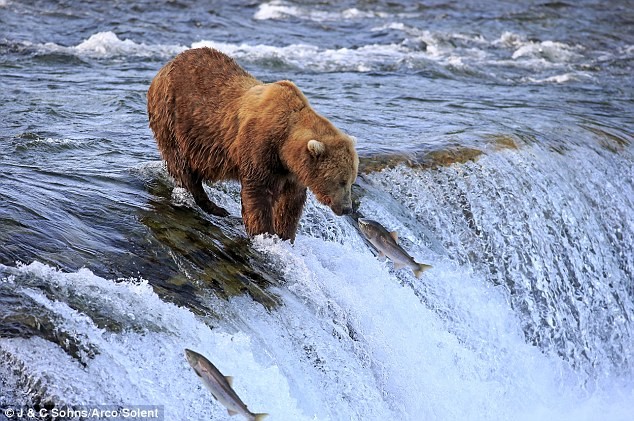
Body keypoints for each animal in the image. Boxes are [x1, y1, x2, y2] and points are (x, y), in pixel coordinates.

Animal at [145, 47, 358, 241]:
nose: (347, 208)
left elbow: (291, 203)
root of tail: (163, 69)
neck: (284, 146)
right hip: (174, 118)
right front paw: (265, 234)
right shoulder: (260, 147)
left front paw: (285, 234)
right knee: (181, 164)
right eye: (341, 181)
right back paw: (213, 206)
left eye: (351, 180)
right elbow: (258, 192)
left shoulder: (292, 172)